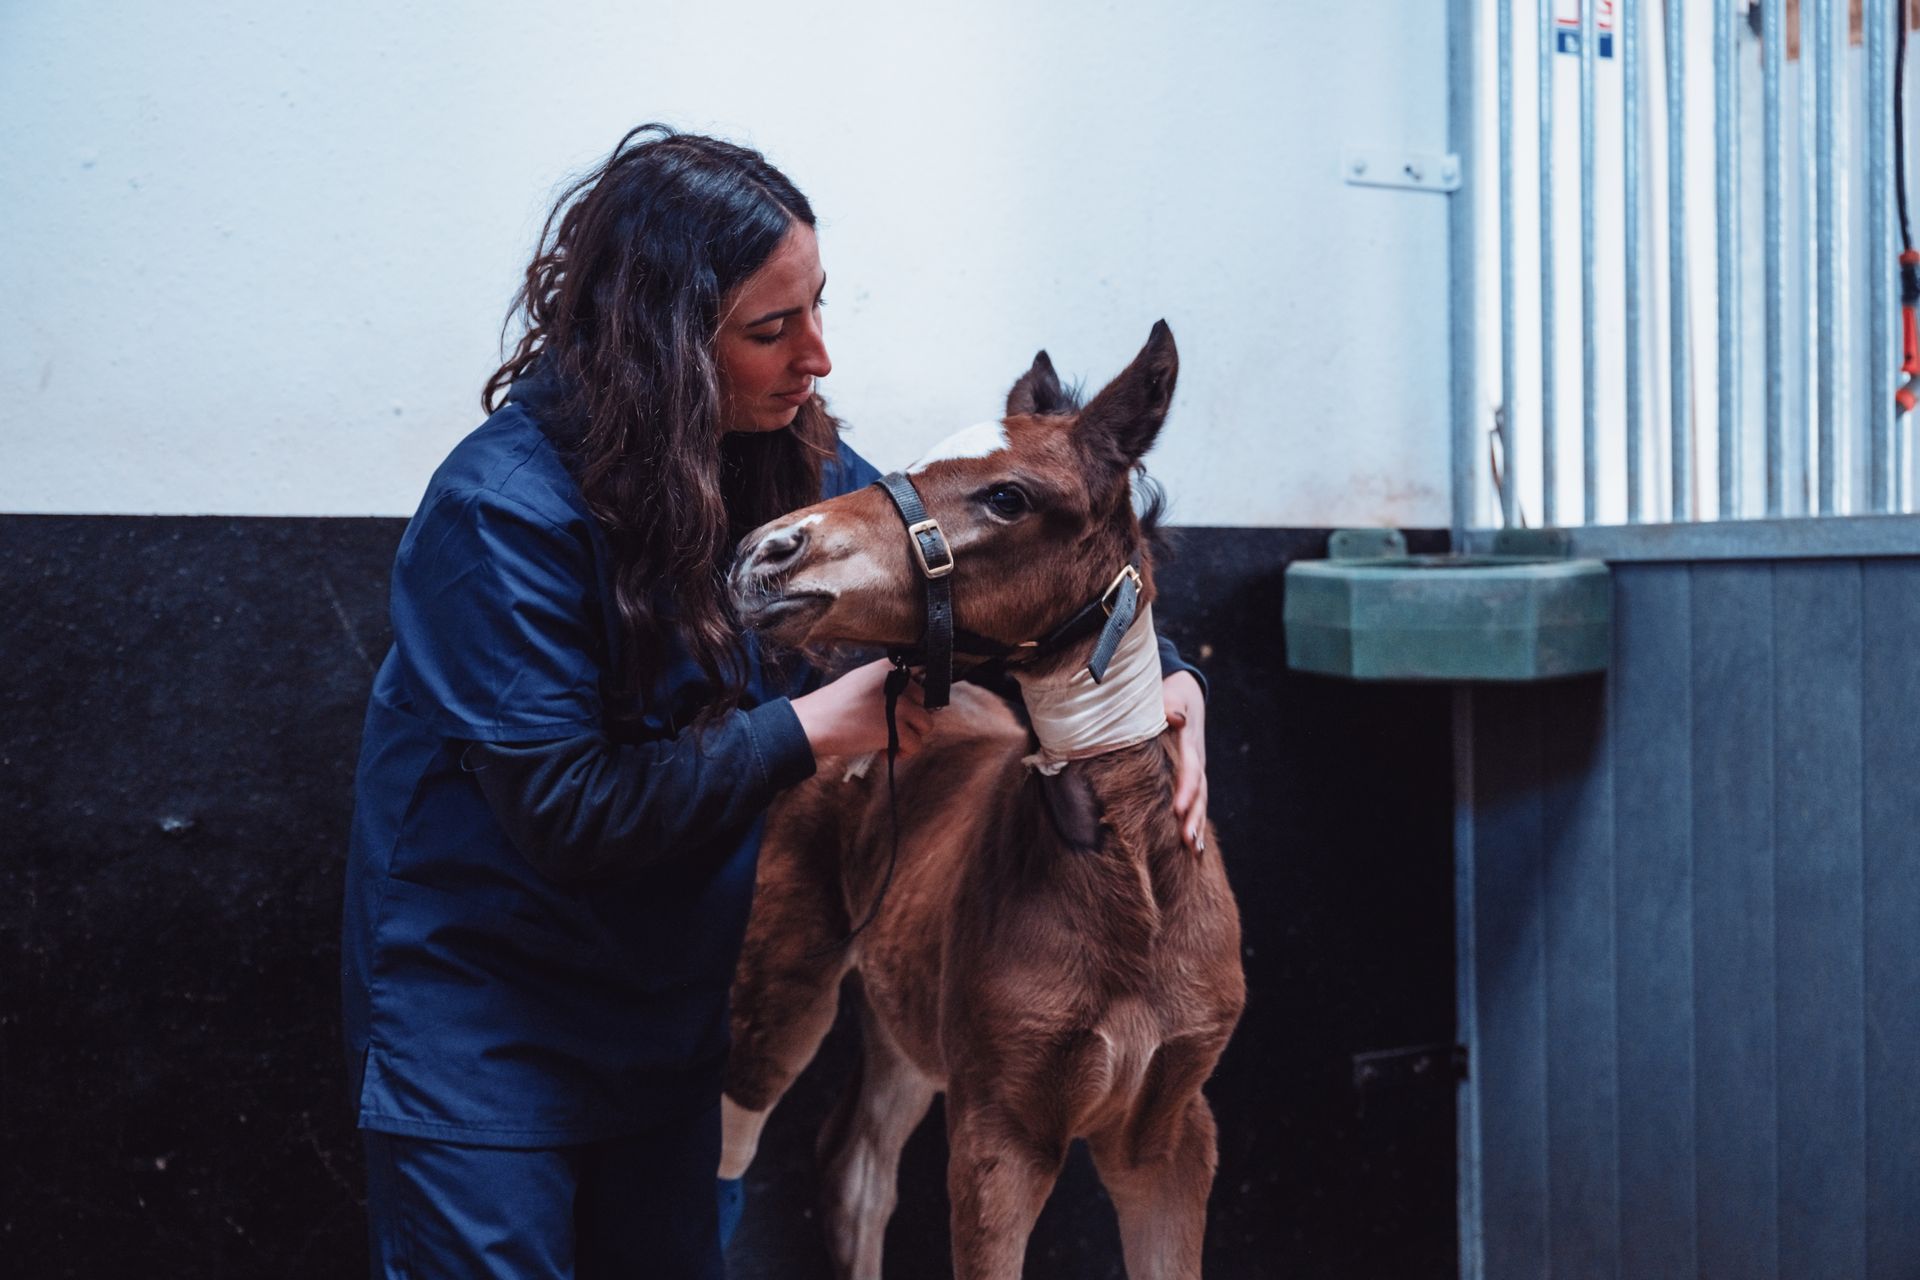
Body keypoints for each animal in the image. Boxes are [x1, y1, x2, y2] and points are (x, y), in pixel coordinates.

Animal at [722, 321, 1246, 1280]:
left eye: (1009, 496)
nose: (766, 553)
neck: (1132, 885)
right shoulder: (999, 1127)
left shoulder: (1171, 1134)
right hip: (777, 990)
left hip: (904, 1021)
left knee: (857, 1170)